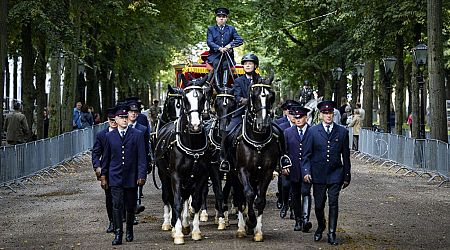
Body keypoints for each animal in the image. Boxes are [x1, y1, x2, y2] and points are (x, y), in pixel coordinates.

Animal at [154, 73, 212, 244]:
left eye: (202, 98)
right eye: (186, 99)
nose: (195, 126)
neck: (191, 143)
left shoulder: (201, 176)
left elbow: (196, 201)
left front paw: (195, 231)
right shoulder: (176, 176)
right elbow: (177, 202)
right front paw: (178, 232)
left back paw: (185, 223)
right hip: (164, 174)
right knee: (168, 197)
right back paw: (170, 224)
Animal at [227, 73, 280, 241]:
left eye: (271, 96)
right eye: (254, 95)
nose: (262, 125)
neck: (258, 141)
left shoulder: (267, 172)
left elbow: (260, 200)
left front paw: (257, 231)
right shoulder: (242, 171)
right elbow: (248, 195)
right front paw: (250, 222)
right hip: (234, 175)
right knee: (239, 197)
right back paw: (241, 228)